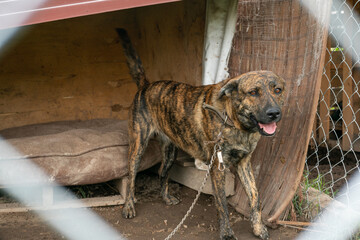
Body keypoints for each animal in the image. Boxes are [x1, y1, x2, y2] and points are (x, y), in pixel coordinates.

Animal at [116, 28, 286, 240]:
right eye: (253, 92)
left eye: (277, 90)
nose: (274, 113)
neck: (235, 122)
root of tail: (145, 86)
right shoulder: (217, 167)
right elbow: (222, 204)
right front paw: (227, 233)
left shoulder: (244, 163)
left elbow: (256, 197)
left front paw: (258, 228)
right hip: (138, 146)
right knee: (131, 177)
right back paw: (129, 206)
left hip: (170, 151)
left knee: (162, 172)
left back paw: (166, 198)